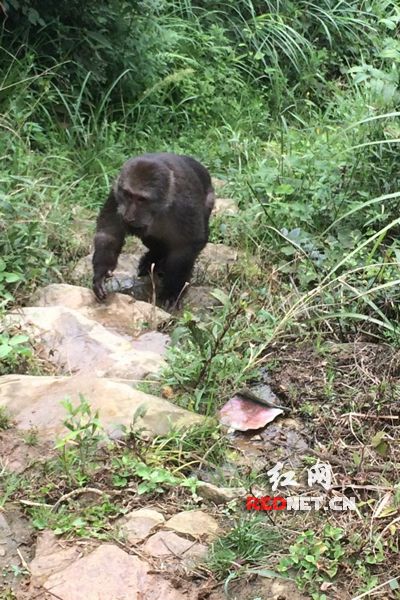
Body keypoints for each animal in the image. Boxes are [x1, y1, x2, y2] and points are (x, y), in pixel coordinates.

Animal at [92, 152, 216, 308]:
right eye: (128, 195)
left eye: (141, 199)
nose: (128, 216)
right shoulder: (116, 193)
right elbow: (109, 232)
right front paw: (101, 273)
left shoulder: (185, 204)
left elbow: (187, 245)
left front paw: (172, 291)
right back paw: (154, 257)